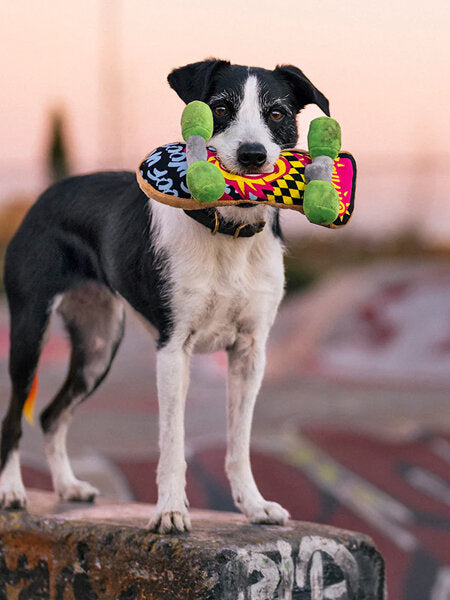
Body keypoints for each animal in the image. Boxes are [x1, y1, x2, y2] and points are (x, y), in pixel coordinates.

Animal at [0, 58, 330, 532]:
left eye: (278, 113)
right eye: (220, 107)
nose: (253, 155)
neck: (227, 232)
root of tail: (46, 195)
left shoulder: (250, 352)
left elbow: (240, 442)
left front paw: (254, 505)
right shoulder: (173, 350)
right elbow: (173, 443)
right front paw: (171, 511)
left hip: (98, 346)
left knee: (50, 414)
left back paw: (68, 487)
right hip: (30, 331)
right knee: (13, 416)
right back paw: (12, 491)